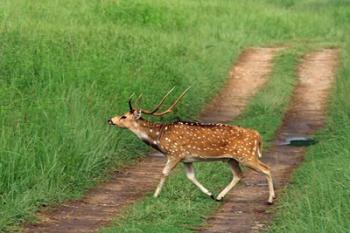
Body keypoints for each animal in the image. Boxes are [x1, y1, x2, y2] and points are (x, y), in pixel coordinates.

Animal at [108, 88, 274, 203]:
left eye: (124, 116)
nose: (110, 120)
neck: (159, 138)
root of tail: (257, 135)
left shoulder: (175, 153)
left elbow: (164, 172)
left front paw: (155, 195)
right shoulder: (187, 159)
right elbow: (191, 177)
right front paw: (210, 193)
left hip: (246, 155)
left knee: (267, 168)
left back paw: (270, 199)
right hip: (231, 158)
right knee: (238, 175)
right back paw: (219, 196)